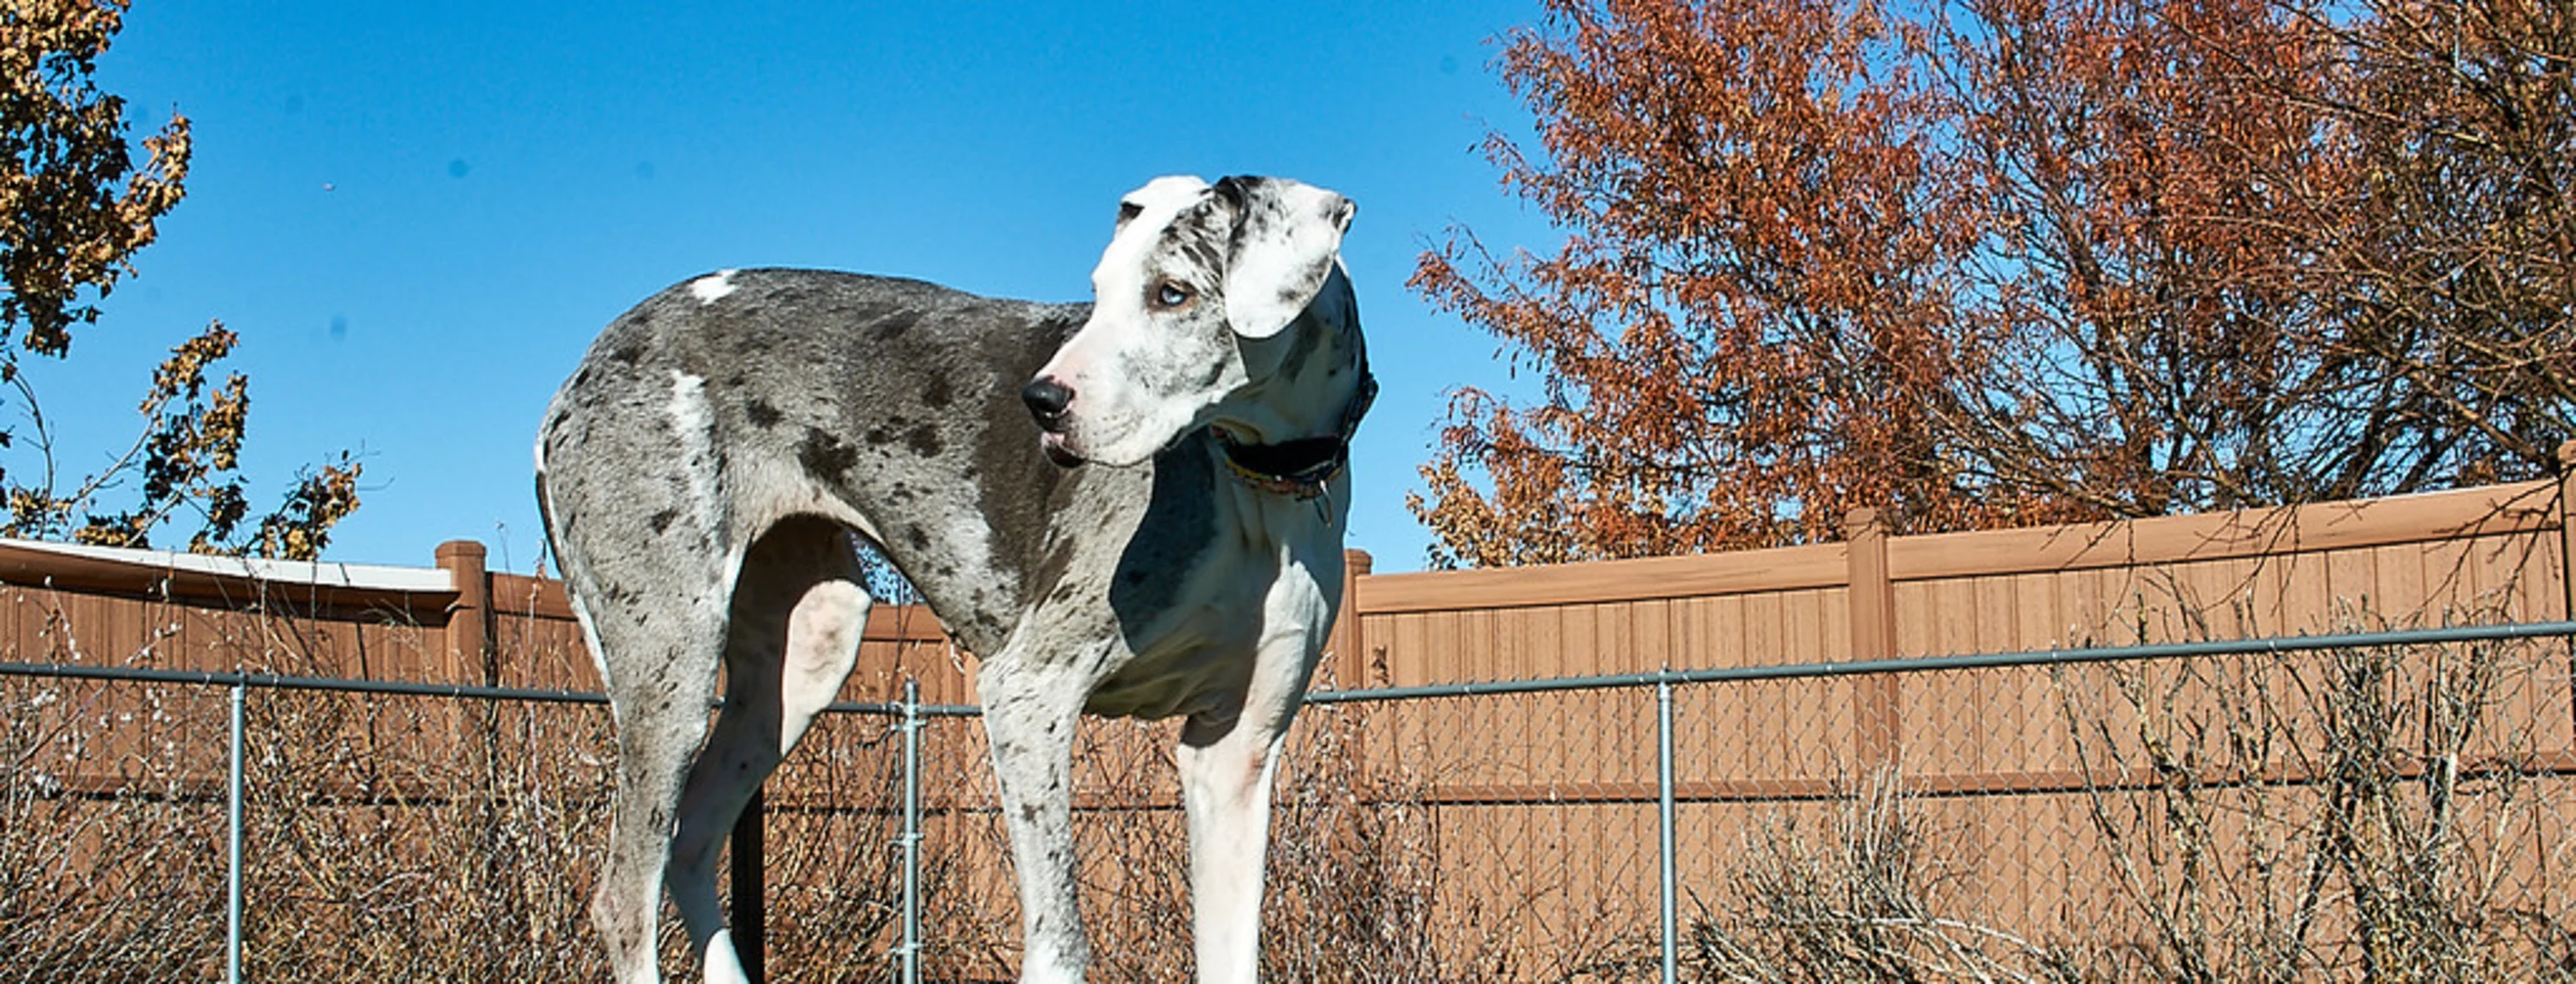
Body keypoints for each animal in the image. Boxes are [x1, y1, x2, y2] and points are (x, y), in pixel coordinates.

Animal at [538, 176, 1370, 984]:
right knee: (625, 897)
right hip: (670, 664)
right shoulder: (1027, 694)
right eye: (1098, 290)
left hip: (807, 651)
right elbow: (1061, 943)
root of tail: (592, 358)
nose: (1040, 402)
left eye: (1173, 293)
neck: (1258, 478)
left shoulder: (1234, 757)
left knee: (688, 845)